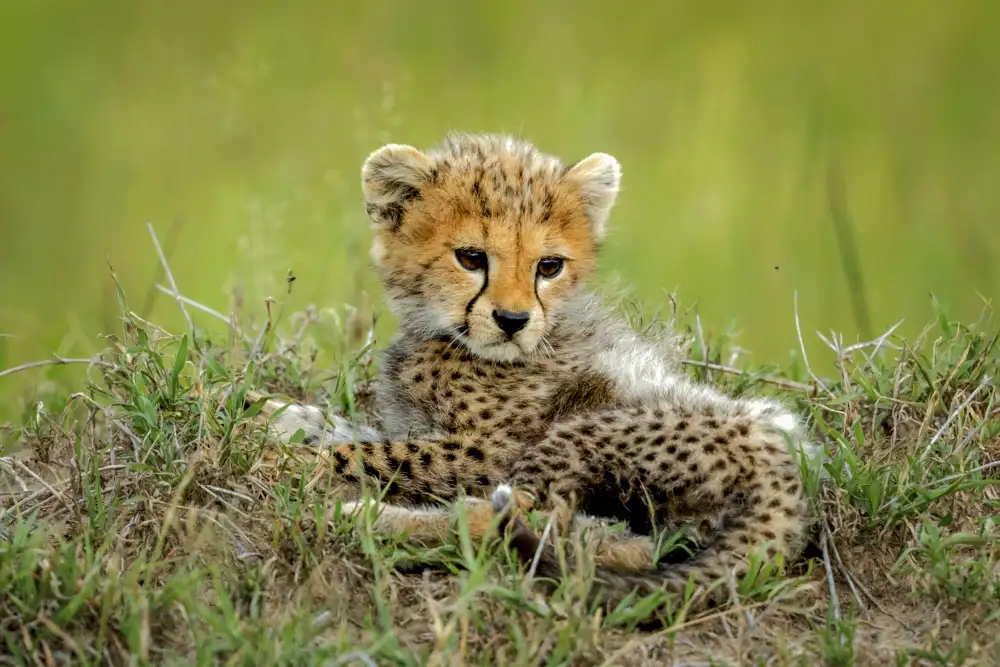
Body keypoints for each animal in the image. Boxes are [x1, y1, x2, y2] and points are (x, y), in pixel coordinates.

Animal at [251, 132, 822, 614]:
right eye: (471, 257)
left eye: (549, 266)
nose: (512, 320)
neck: (446, 337)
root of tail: (792, 479)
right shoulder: (417, 423)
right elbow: (355, 430)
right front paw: (274, 412)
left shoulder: (489, 450)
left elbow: (375, 453)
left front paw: (282, 458)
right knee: (613, 543)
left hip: (588, 430)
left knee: (529, 519)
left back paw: (371, 518)